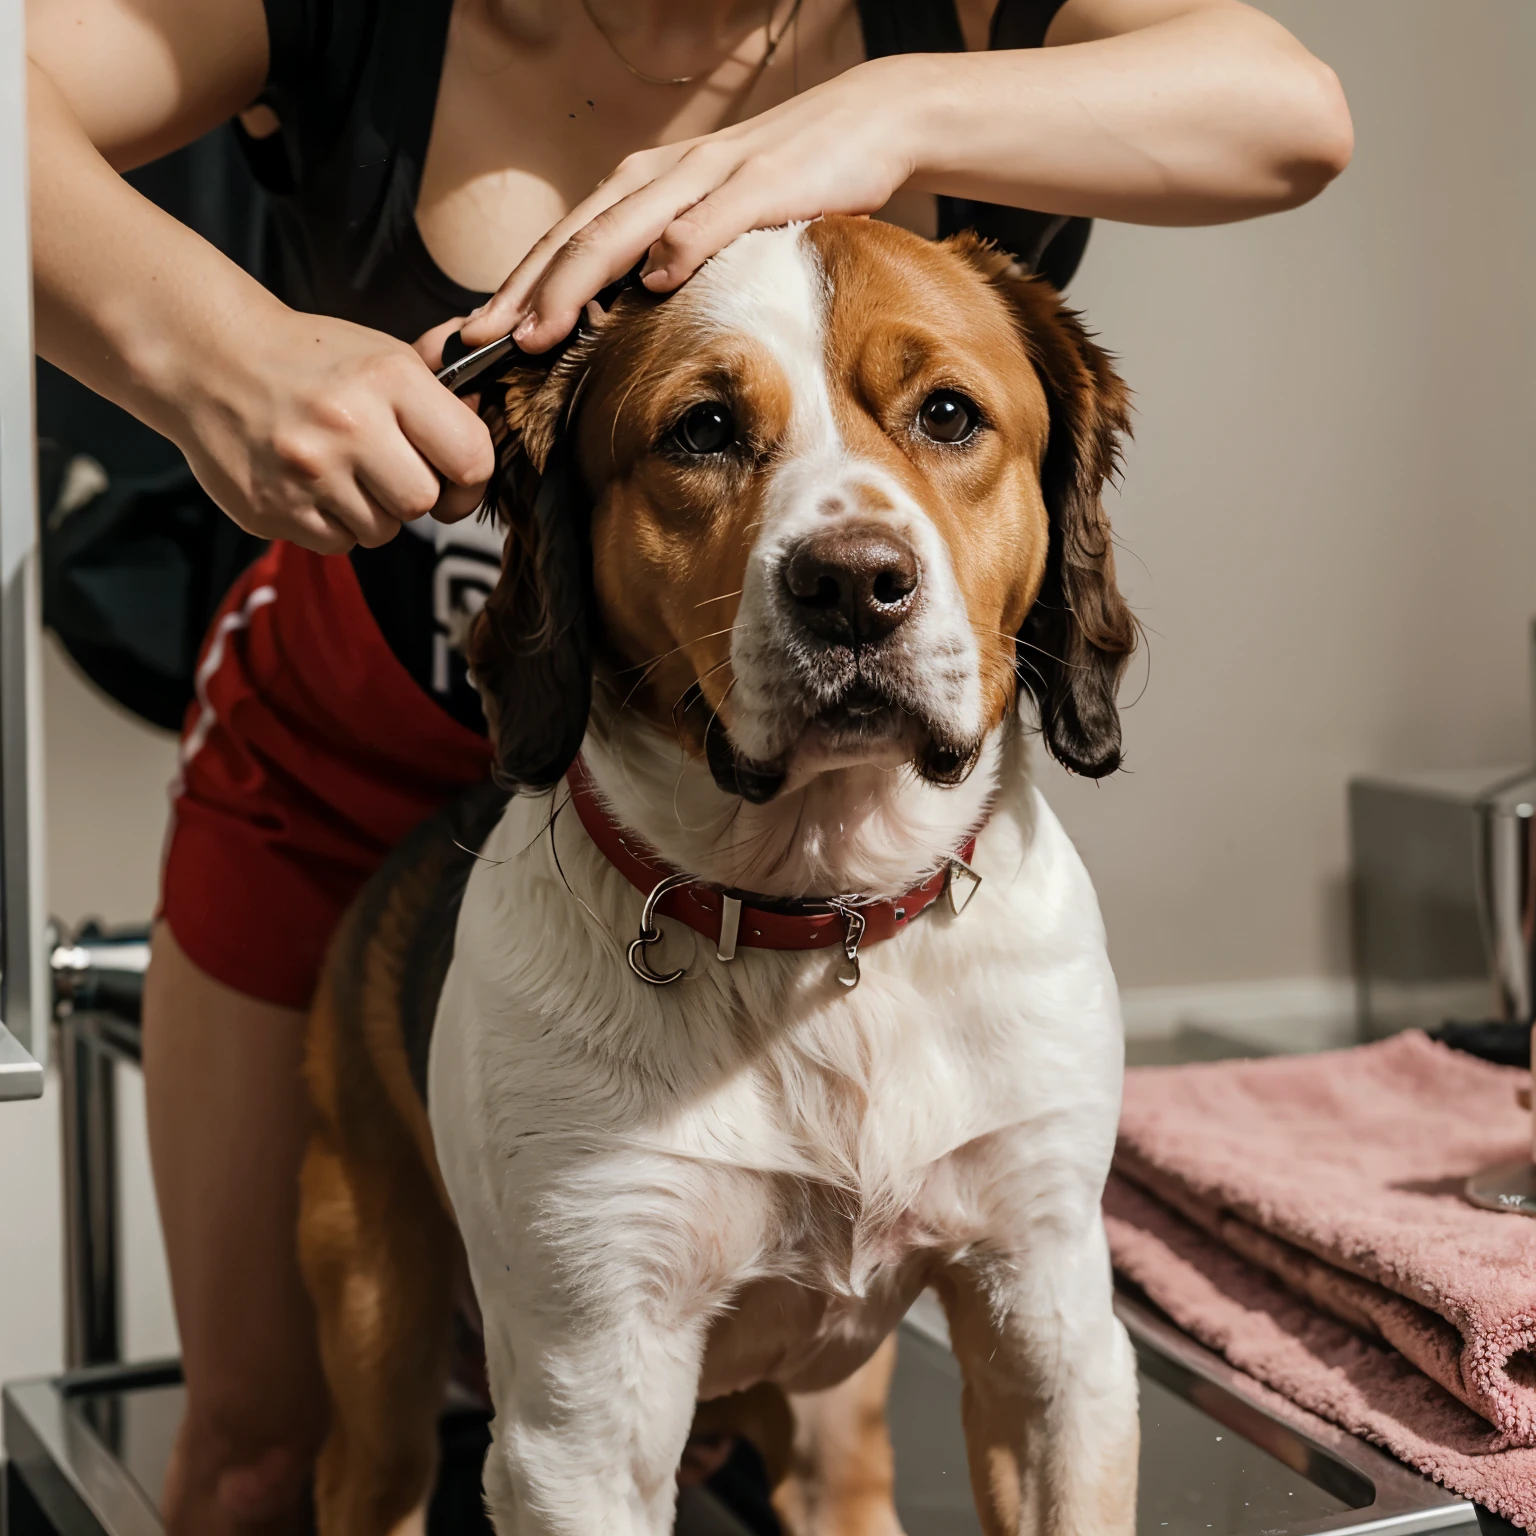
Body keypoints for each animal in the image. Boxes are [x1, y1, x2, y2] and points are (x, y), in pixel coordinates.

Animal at [299, 216, 1142, 1536]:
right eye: (702, 430)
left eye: (950, 414)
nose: (853, 583)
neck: (823, 920)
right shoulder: (583, 1418)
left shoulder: (1054, 1339)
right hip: (376, 1329)